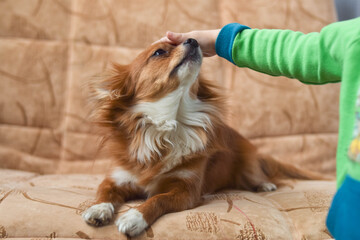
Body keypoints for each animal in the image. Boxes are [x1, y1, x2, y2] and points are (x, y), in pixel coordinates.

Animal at [83, 38, 324, 236]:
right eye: (159, 52)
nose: (192, 39)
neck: (169, 121)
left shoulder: (186, 190)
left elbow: (158, 198)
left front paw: (135, 216)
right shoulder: (117, 177)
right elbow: (104, 192)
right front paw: (98, 208)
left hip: (248, 165)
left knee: (259, 175)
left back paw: (265, 185)